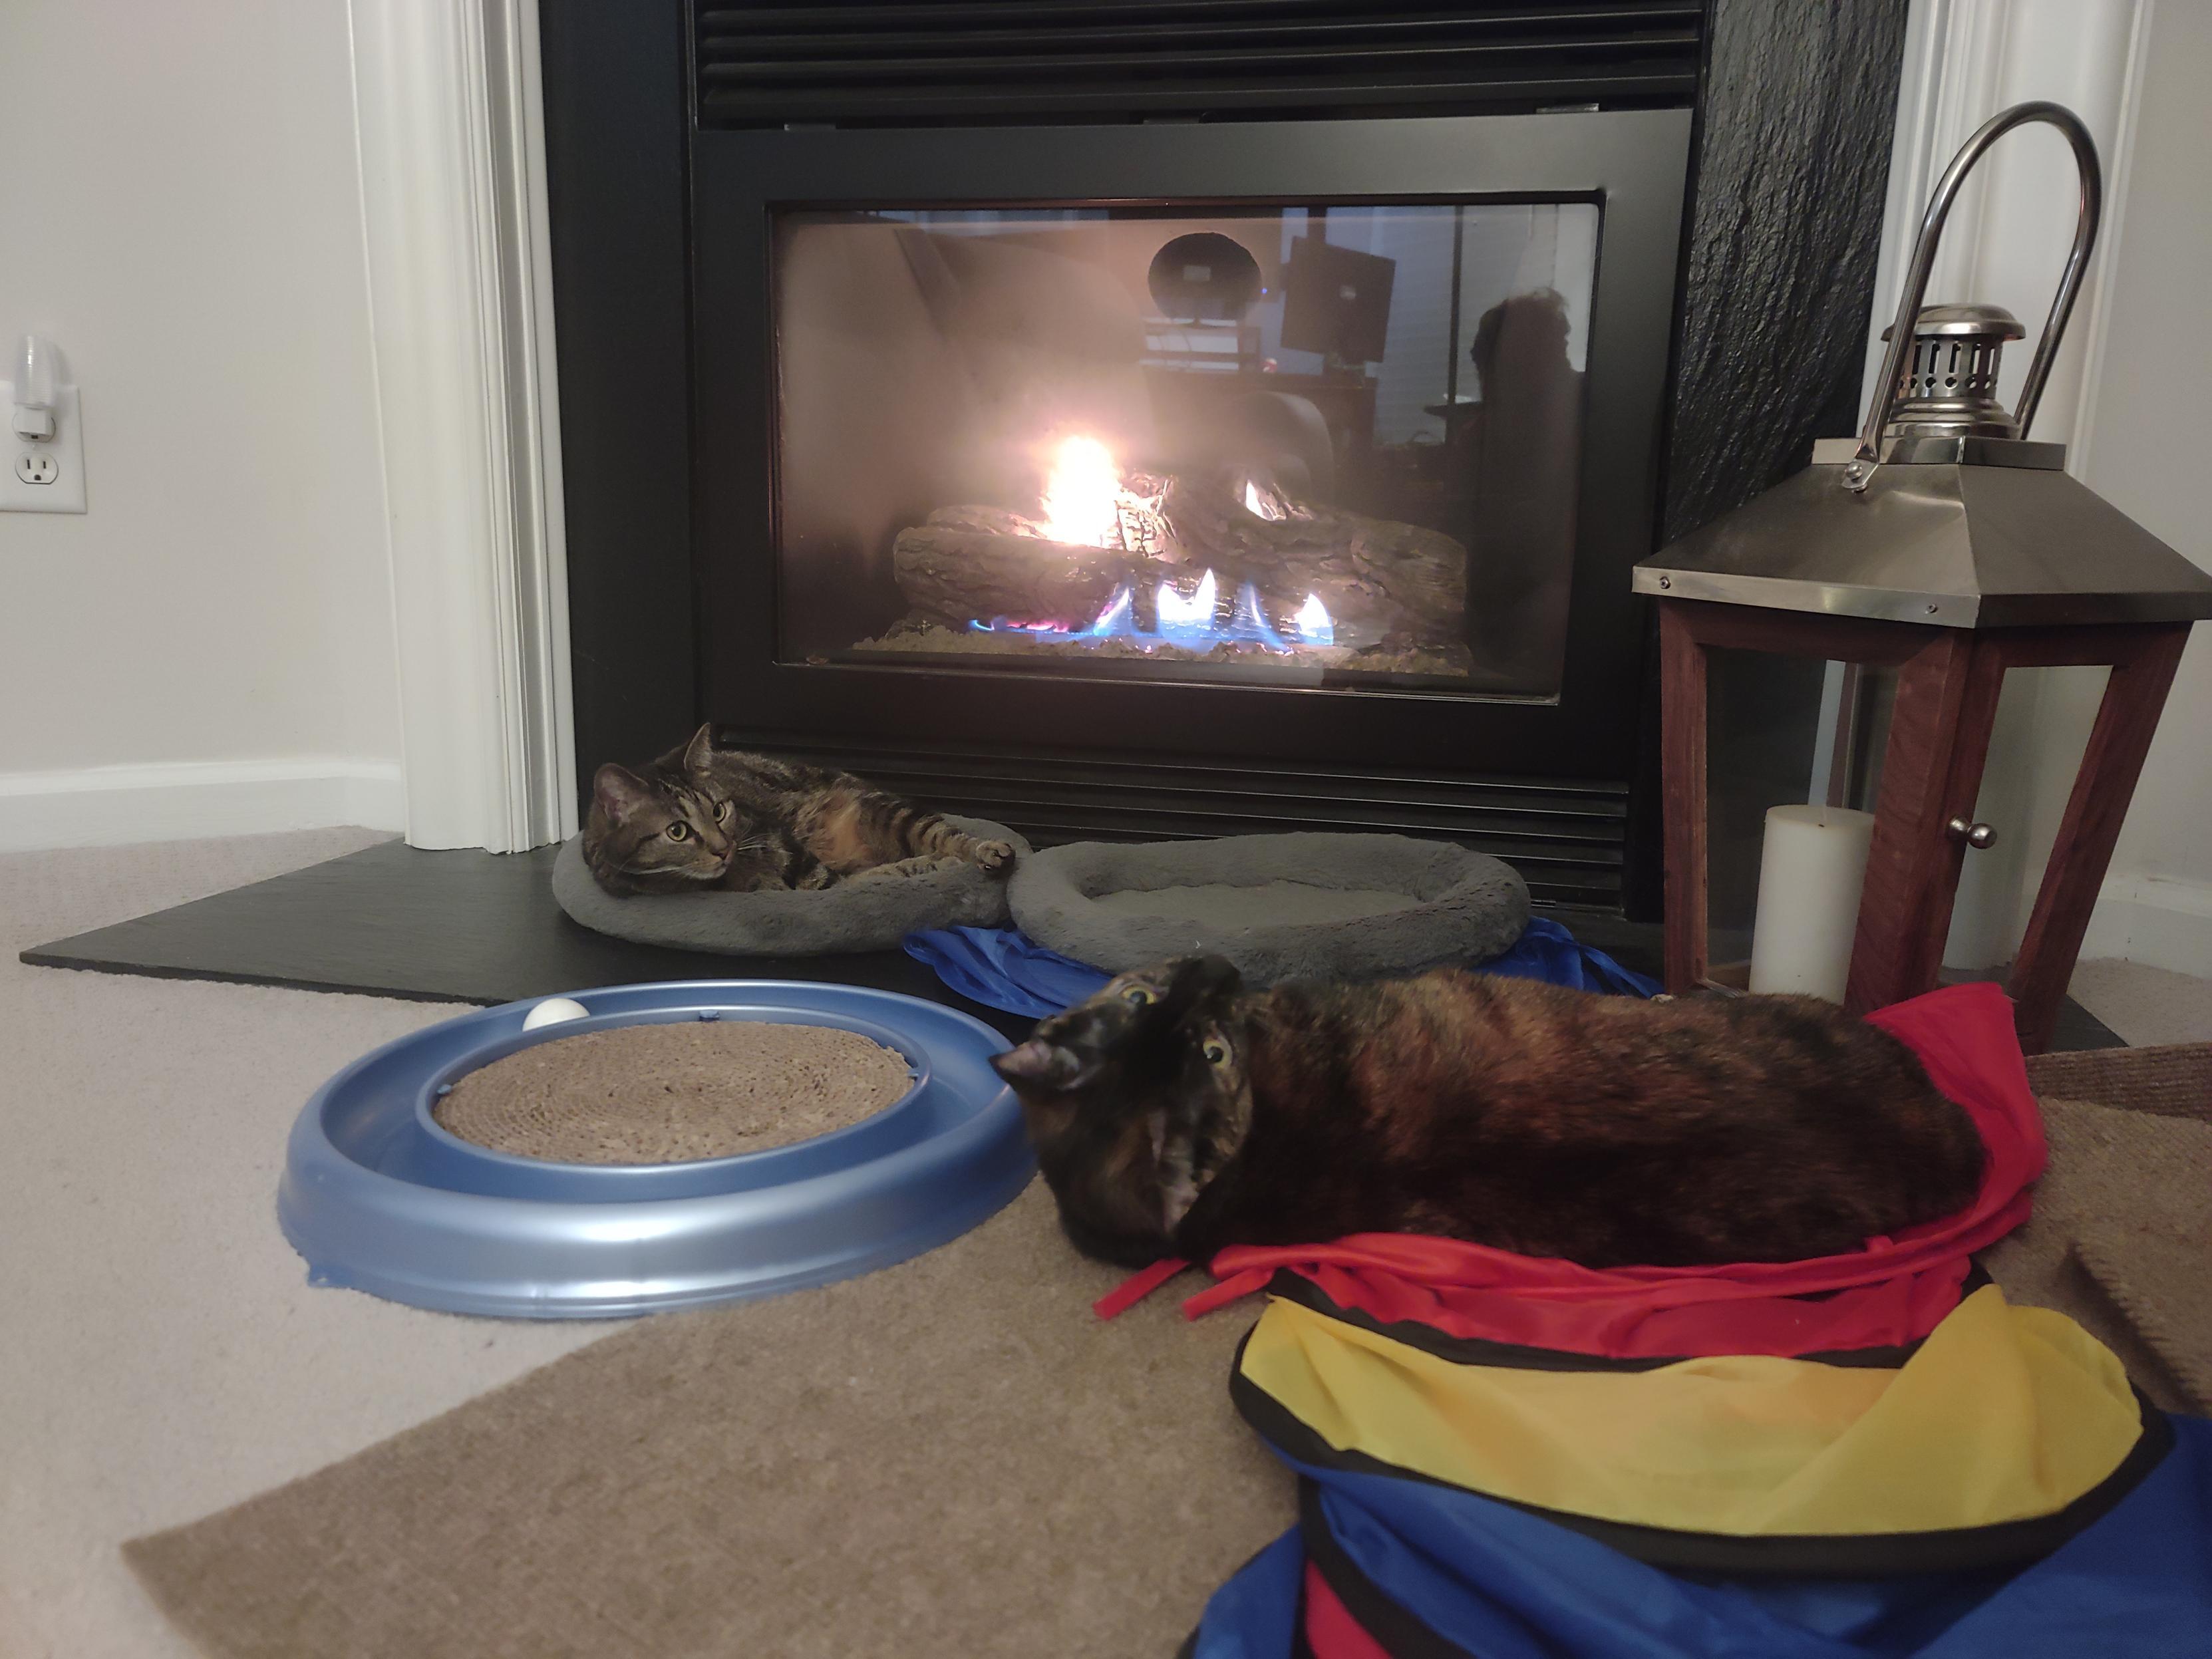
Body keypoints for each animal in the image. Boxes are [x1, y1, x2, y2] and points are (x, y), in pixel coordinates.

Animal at [579, 725, 1013, 898]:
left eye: (718, 811)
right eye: (678, 832)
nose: (724, 848)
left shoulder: (798, 858)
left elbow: (861, 880)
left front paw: (935, 866)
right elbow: (863, 880)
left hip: (891, 812)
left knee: (949, 836)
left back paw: (984, 852)